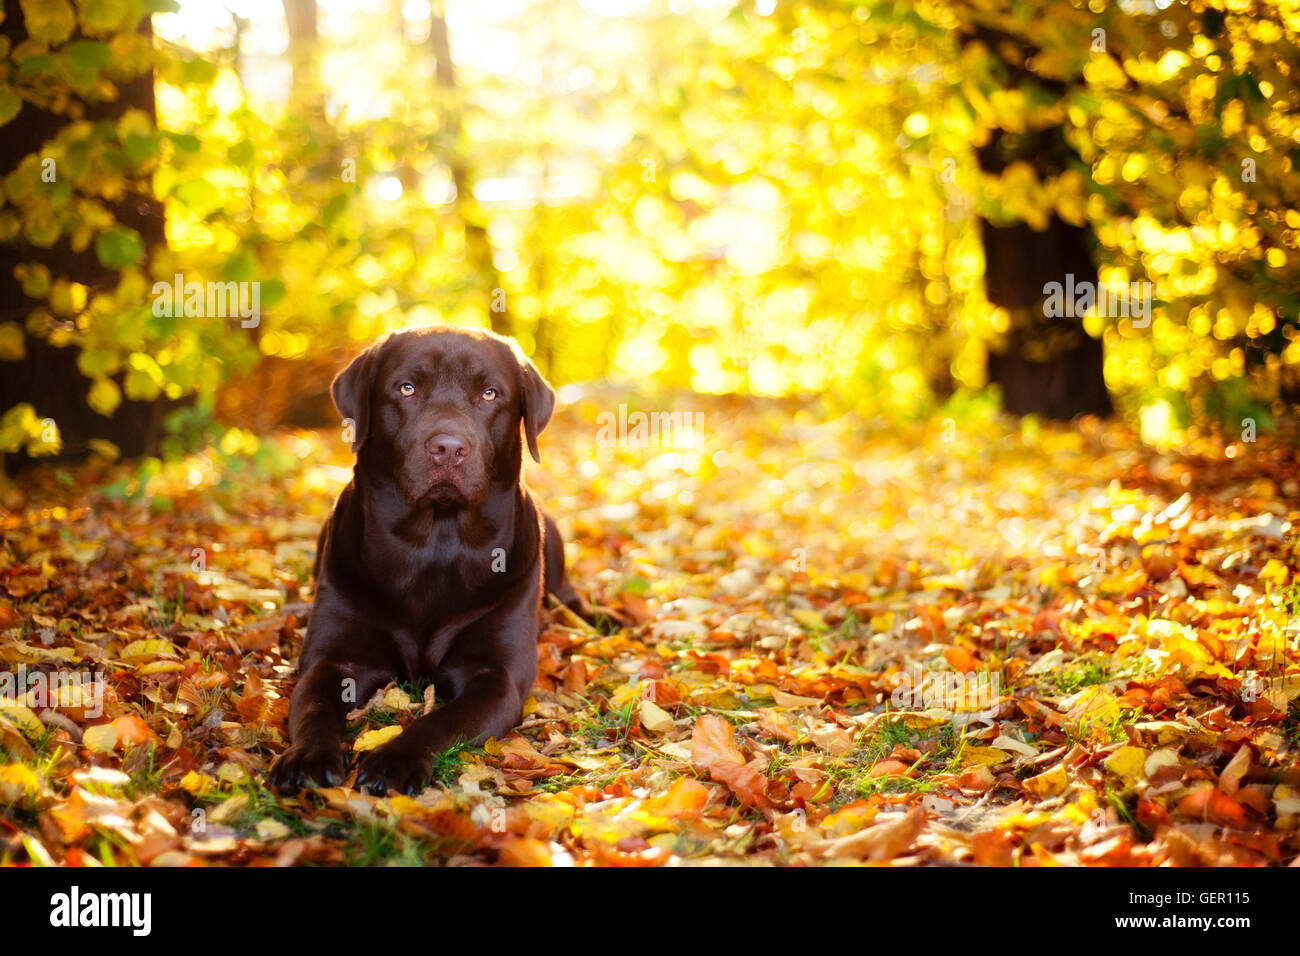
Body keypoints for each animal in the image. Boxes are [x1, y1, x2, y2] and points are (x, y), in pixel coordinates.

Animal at [270, 325, 603, 796]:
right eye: (407, 388)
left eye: (489, 393)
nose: (448, 447)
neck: (435, 546)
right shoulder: (334, 660)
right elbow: (313, 708)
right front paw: (307, 758)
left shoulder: (495, 676)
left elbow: (441, 721)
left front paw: (394, 761)